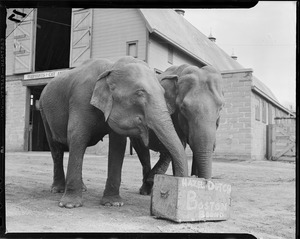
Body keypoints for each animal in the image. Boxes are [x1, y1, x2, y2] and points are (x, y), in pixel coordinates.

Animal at [39, 57, 188, 208]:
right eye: (140, 92)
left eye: (163, 94)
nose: (168, 190)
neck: (110, 66)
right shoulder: (79, 99)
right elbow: (77, 136)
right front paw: (70, 205)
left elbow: (118, 145)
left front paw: (113, 203)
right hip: (44, 112)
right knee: (56, 149)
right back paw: (57, 189)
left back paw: (82, 188)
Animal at [130, 64, 224, 195]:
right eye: (183, 108)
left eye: (221, 107)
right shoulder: (173, 115)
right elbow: (180, 146)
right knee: (142, 150)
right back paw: (145, 190)